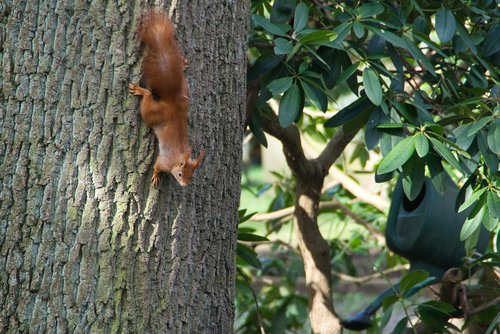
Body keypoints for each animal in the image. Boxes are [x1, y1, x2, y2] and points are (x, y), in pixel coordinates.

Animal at [131, 10, 207, 187]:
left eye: (191, 176)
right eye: (180, 174)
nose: (185, 185)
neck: (178, 158)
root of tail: (172, 100)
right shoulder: (165, 161)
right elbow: (157, 166)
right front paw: (155, 176)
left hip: (184, 91)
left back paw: (182, 65)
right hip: (150, 113)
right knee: (147, 97)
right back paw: (140, 90)